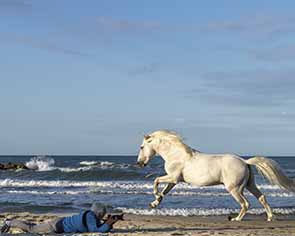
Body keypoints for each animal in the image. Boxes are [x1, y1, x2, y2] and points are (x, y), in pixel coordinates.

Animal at [137, 131, 295, 221]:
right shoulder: (174, 180)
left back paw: (236, 219)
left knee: (245, 203)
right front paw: (154, 203)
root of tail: (244, 161)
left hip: (235, 189)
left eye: (142, 147)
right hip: (250, 185)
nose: (139, 163)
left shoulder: (173, 177)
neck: (176, 154)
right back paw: (270, 217)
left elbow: (156, 180)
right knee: (261, 197)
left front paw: (155, 195)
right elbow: (165, 191)